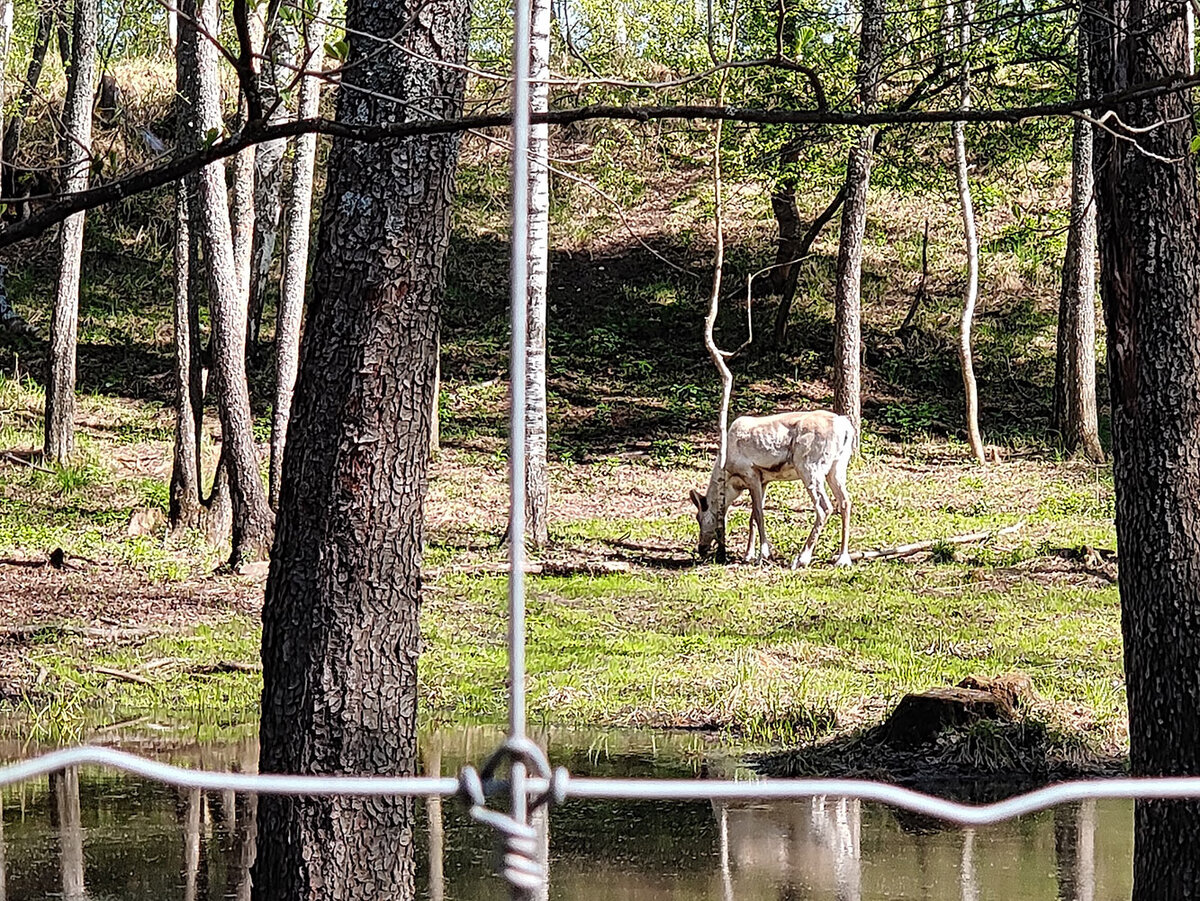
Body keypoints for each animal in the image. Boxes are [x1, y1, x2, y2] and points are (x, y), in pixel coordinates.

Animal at [686, 412, 854, 566]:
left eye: (699, 517)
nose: (701, 548)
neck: (728, 478)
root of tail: (846, 428)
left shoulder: (751, 473)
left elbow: (759, 514)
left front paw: (763, 555)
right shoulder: (764, 480)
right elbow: (753, 517)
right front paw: (748, 555)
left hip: (810, 467)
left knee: (824, 507)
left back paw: (802, 559)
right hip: (837, 467)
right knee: (845, 502)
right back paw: (842, 558)